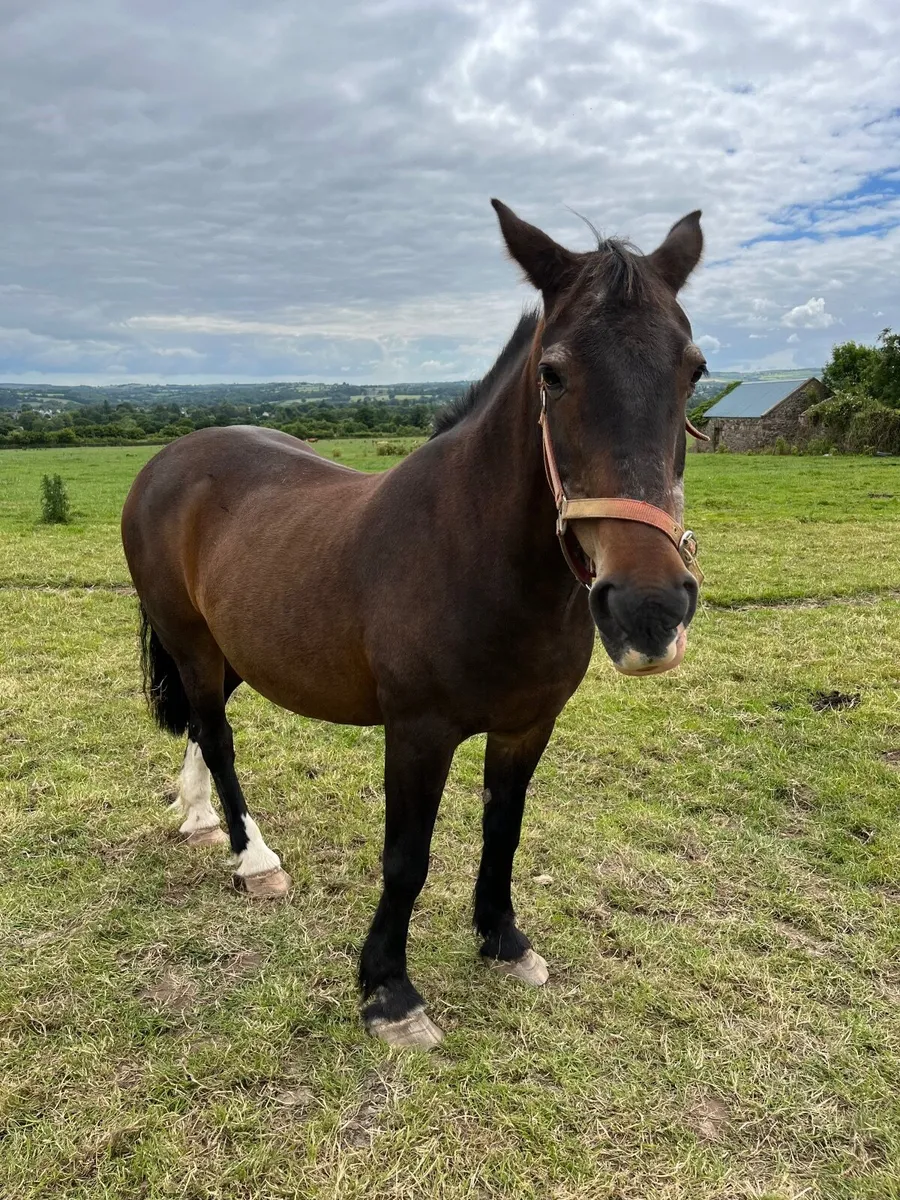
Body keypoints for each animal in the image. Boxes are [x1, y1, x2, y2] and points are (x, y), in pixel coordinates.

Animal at [121, 199, 707, 1049]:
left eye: (693, 370)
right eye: (552, 373)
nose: (649, 609)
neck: (475, 555)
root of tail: (169, 460)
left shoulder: (527, 726)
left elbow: (505, 830)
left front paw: (503, 941)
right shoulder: (418, 732)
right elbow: (407, 857)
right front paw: (388, 992)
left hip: (230, 649)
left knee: (203, 724)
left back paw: (199, 818)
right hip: (191, 642)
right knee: (218, 735)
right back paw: (252, 857)